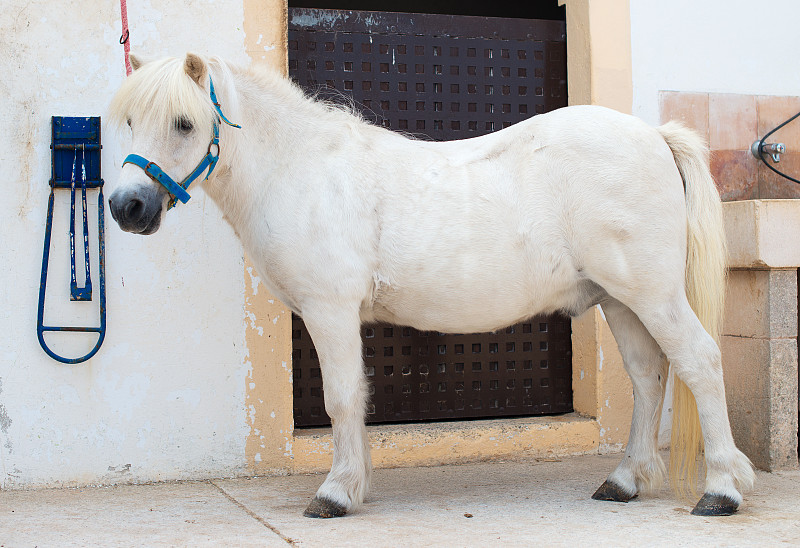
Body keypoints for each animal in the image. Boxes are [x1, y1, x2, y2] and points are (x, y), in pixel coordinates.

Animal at [109, 52, 752, 520]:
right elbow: (356, 398)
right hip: (620, 300)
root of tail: (654, 136)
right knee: (649, 375)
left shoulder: (329, 310)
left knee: (698, 362)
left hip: (653, 296)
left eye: (185, 123)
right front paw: (356, 484)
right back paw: (624, 481)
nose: (126, 207)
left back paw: (720, 491)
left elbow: (342, 398)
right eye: (132, 121)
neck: (302, 171)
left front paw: (335, 494)